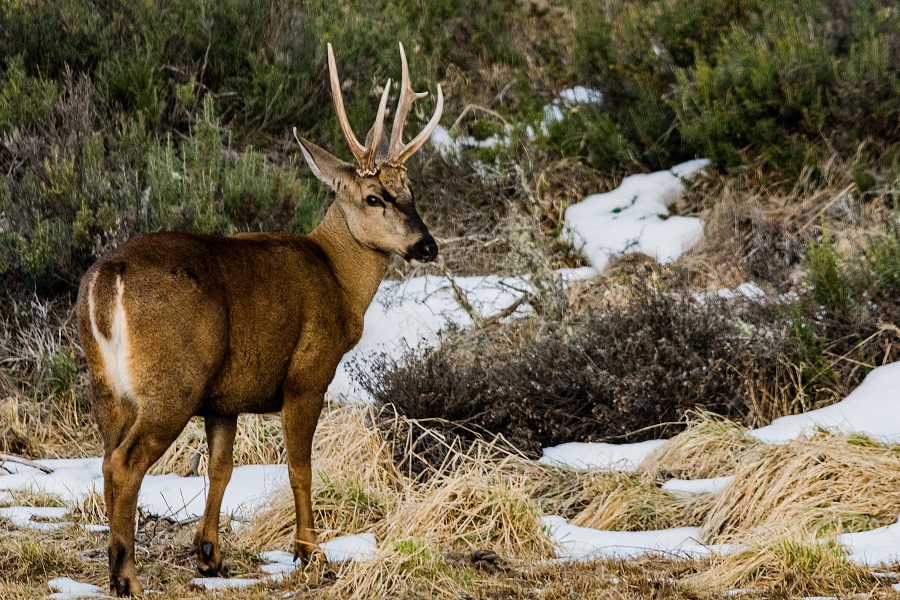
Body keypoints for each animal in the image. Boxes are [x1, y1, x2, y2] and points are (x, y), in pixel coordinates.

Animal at [76, 43, 442, 596]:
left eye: (412, 190)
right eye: (374, 197)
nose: (427, 245)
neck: (337, 279)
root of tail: (108, 277)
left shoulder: (225, 398)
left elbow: (222, 468)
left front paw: (209, 554)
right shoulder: (307, 374)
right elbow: (300, 468)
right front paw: (312, 554)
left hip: (107, 384)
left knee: (104, 459)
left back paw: (119, 569)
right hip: (174, 381)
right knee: (124, 465)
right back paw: (128, 578)